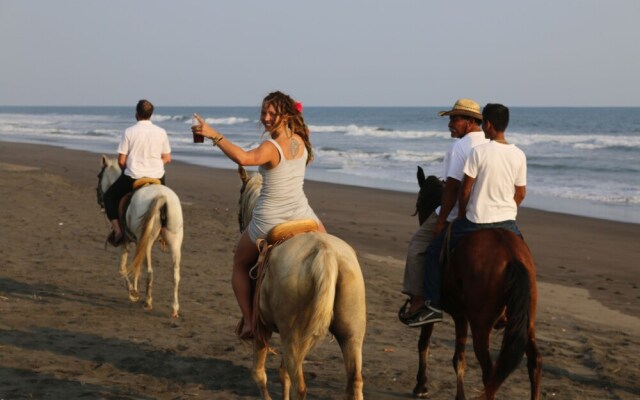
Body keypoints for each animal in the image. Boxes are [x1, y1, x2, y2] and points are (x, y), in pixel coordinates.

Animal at [97, 155, 184, 318]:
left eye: (99, 176)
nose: (100, 199)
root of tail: (162, 197)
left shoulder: (126, 240)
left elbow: (123, 268)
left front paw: (133, 293)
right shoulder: (138, 242)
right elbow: (135, 267)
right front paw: (135, 290)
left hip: (147, 243)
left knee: (150, 272)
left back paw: (148, 302)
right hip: (174, 242)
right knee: (175, 275)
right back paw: (174, 308)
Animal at [236, 167, 368, 400]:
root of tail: (327, 253)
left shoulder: (261, 328)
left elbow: (259, 374)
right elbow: (282, 374)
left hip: (293, 339)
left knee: (300, 386)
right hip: (351, 335)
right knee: (355, 382)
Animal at [410, 166, 540, 400]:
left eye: (419, 201)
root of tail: (511, 256)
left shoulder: (442, 310)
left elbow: (425, 343)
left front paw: (421, 385)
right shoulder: (461, 315)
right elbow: (458, 359)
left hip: (481, 326)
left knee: (490, 374)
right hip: (527, 322)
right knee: (534, 363)